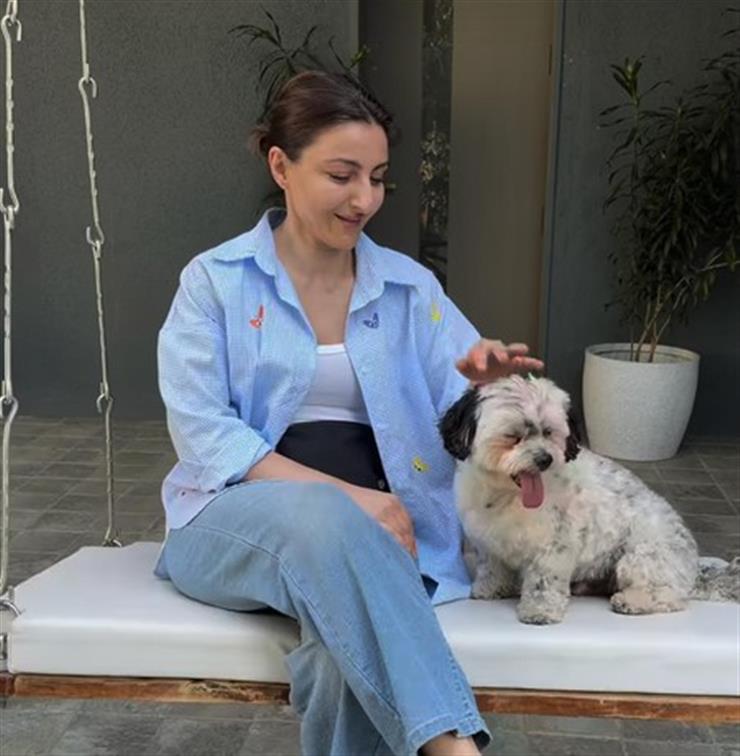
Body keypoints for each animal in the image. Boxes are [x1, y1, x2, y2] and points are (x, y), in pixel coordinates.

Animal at [439, 374, 739, 625]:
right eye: (513, 436)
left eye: (549, 432)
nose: (545, 459)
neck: (508, 495)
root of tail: (693, 567)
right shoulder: (488, 543)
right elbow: (491, 569)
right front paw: (490, 589)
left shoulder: (554, 546)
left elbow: (543, 581)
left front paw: (539, 611)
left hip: (640, 556)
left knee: (671, 595)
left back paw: (632, 601)